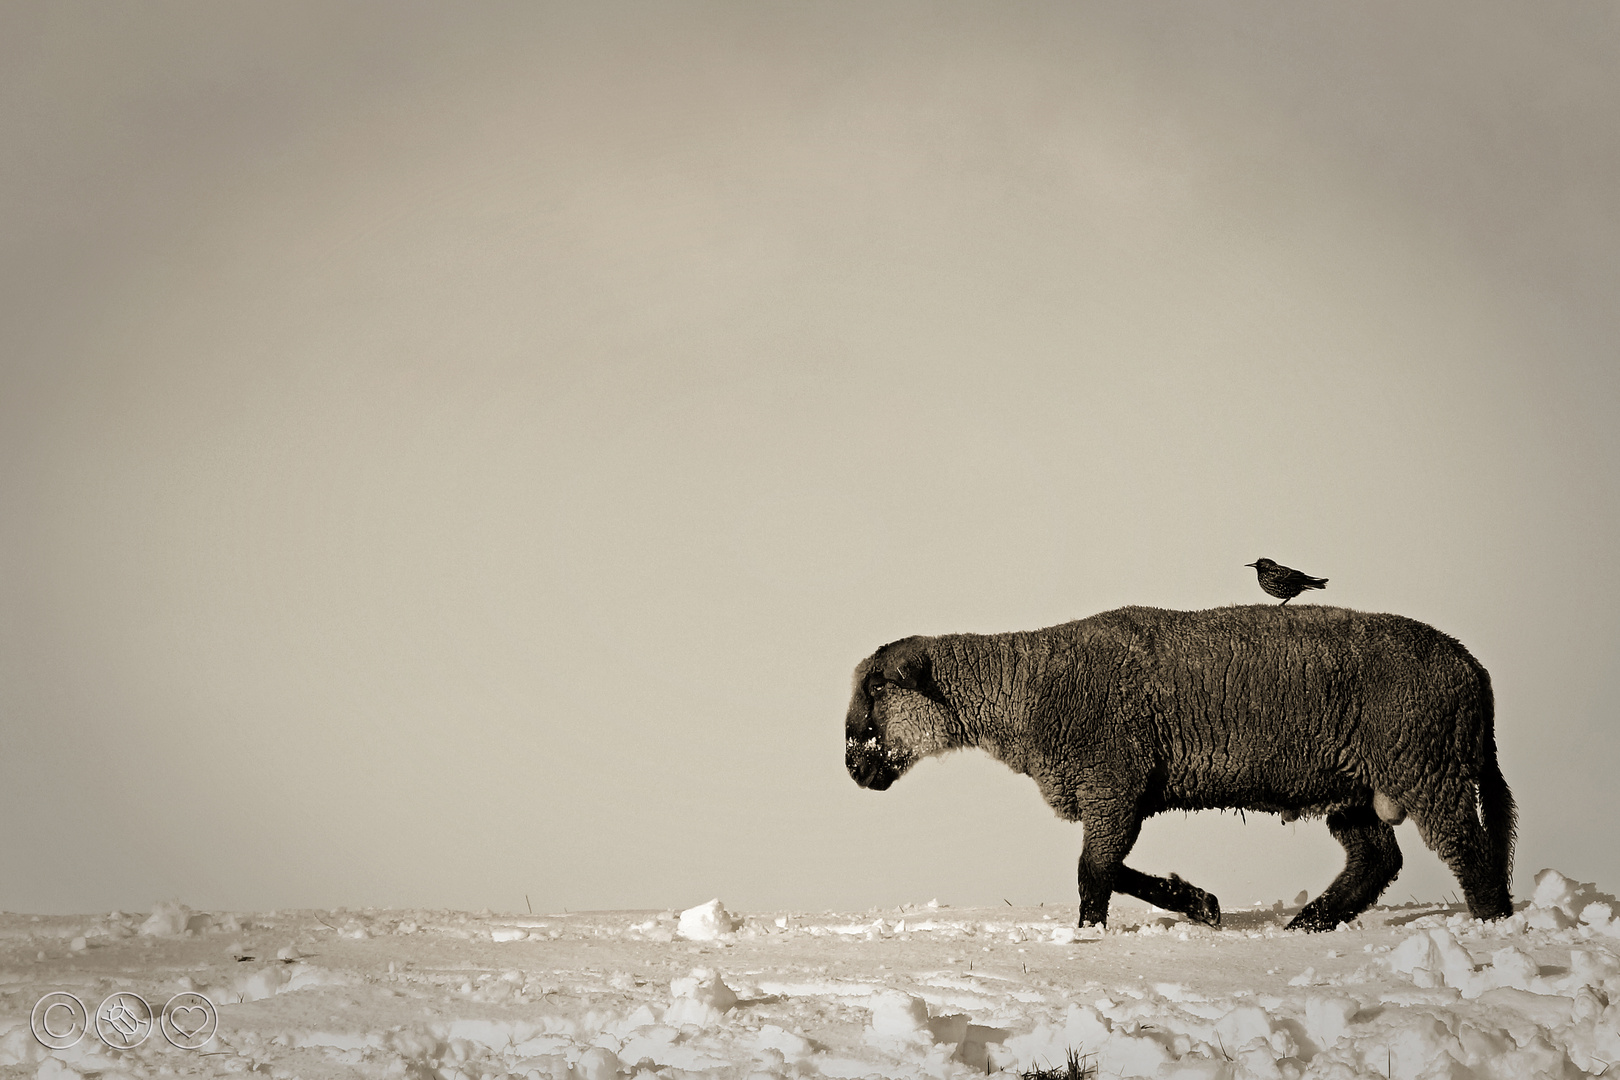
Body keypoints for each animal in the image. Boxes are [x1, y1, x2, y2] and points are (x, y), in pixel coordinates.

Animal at [848, 605, 1516, 932]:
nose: (854, 765)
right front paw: (1201, 904)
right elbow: (1111, 869)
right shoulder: (1116, 793)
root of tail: (1475, 669)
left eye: (877, 687)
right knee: (1377, 858)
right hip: (1351, 783)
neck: (1027, 690)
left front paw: (1092, 936)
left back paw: (1493, 928)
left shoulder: (1113, 782)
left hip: (1425, 764)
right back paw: (1306, 925)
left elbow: (1095, 872)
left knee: (1470, 851)